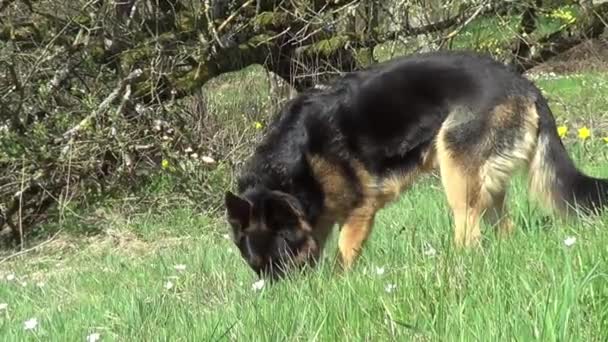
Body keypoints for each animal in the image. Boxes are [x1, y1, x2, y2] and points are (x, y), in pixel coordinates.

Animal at [224, 50, 608, 280]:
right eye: (257, 268)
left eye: (284, 261)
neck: (293, 166)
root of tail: (526, 87)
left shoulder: (361, 210)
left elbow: (345, 253)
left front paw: (339, 283)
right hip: (485, 182)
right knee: (502, 226)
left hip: (456, 170)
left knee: (468, 231)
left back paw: (454, 265)